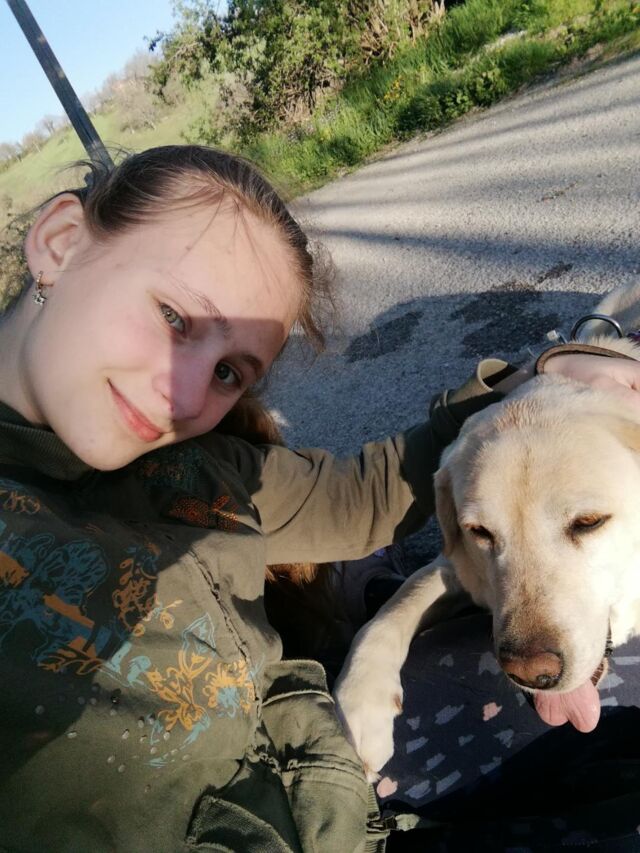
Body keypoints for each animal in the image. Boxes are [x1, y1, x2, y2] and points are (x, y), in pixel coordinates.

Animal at [333, 284, 640, 781]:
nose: (531, 673)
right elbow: (394, 606)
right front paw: (358, 704)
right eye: (479, 531)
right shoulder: (458, 565)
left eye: (588, 522)